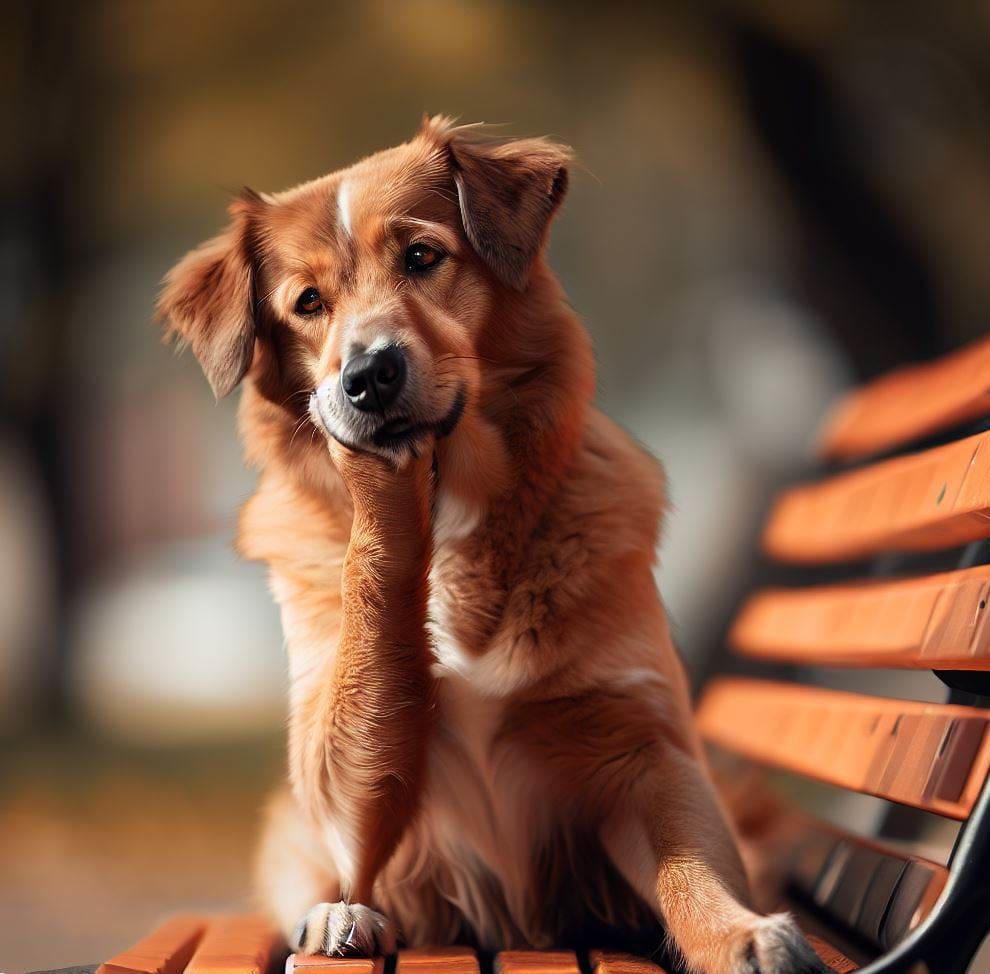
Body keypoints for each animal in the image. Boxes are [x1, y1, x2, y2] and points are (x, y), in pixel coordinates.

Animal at [161, 116, 828, 974]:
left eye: (421, 257)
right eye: (309, 303)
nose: (367, 376)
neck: (451, 521)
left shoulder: (643, 748)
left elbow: (691, 869)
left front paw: (739, 932)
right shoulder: (341, 782)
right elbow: (357, 780)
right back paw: (338, 917)